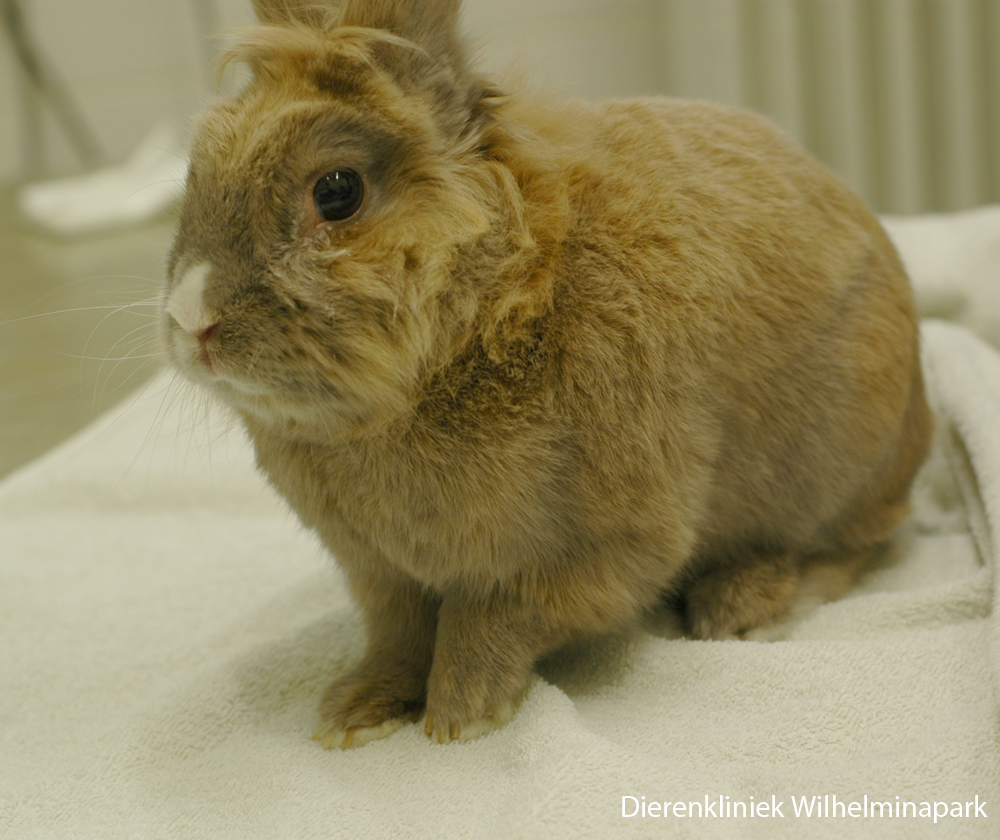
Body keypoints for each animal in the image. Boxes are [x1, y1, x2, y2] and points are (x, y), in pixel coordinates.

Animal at [156, 0, 928, 748]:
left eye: (338, 191)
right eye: (196, 175)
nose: (191, 319)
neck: (495, 298)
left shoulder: (599, 552)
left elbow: (491, 616)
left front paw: (464, 714)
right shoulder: (383, 576)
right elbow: (397, 638)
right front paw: (355, 714)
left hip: (843, 459)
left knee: (855, 547)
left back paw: (743, 608)